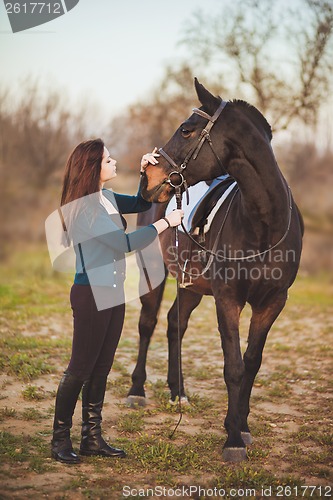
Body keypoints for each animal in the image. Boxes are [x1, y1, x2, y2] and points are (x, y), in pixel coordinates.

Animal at [127, 79, 304, 460]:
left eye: (186, 129)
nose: (147, 177)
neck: (264, 222)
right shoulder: (228, 300)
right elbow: (233, 367)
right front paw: (233, 440)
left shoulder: (272, 303)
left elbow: (252, 363)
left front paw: (241, 425)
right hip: (153, 275)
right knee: (148, 324)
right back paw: (137, 391)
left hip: (192, 285)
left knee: (175, 324)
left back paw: (178, 393)